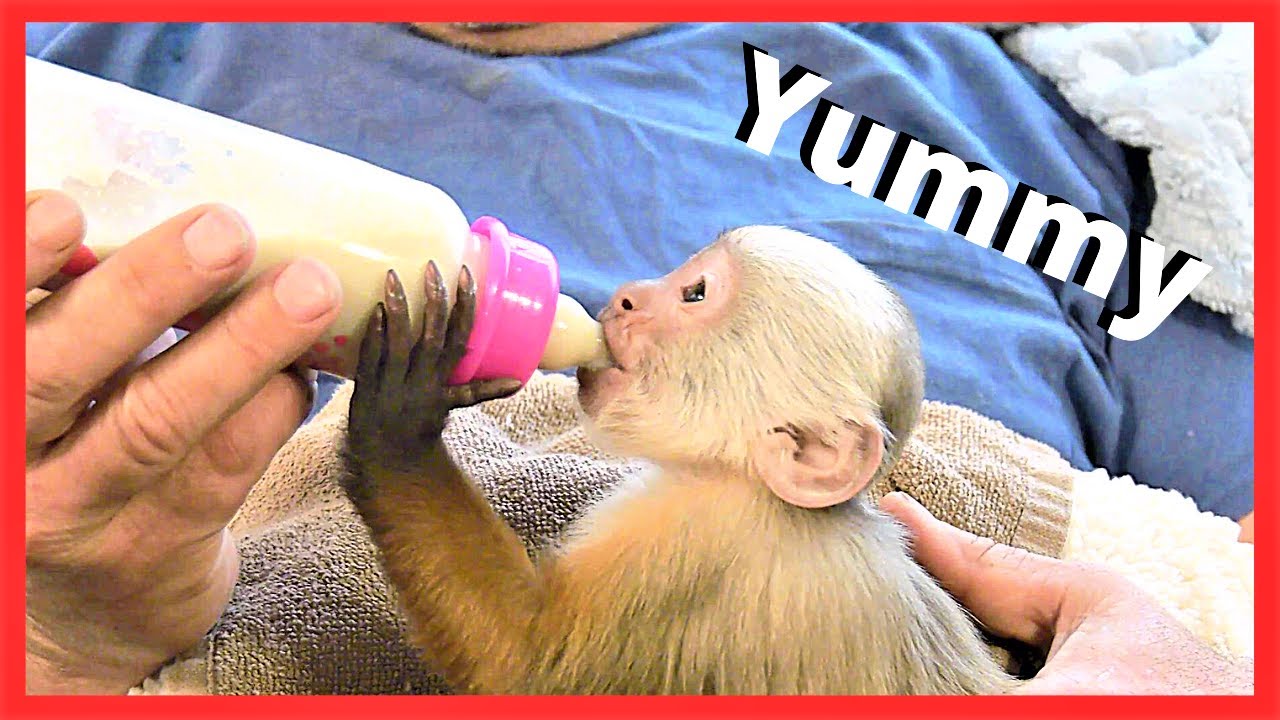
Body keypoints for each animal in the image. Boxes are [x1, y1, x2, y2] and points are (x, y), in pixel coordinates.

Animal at [340, 226, 1021, 695]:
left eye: (695, 293)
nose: (625, 298)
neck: (757, 487)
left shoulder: (701, 532)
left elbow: (527, 665)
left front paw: (404, 416)